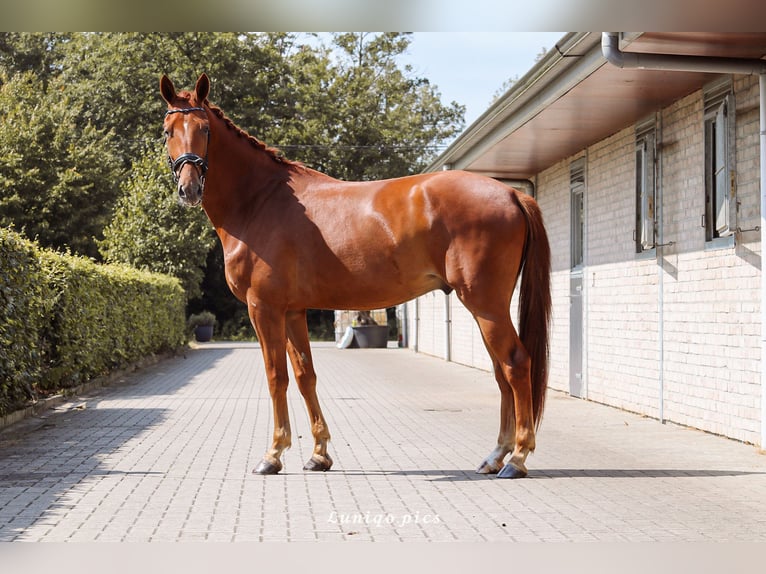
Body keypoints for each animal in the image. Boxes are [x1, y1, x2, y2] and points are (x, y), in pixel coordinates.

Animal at [160, 74, 552, 480]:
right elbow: (305, 375)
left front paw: (273, 455)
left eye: (205, 130)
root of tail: (511, 194)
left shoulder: (264, 307)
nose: (189, 189)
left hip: (485, 304)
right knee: (501, 371)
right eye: (167, 131)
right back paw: (495, 457)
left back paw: (517, 458)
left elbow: (276, 376)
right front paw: (319, 454)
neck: (260, 201)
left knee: (515, 364)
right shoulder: (293, 310)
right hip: (485, 307)